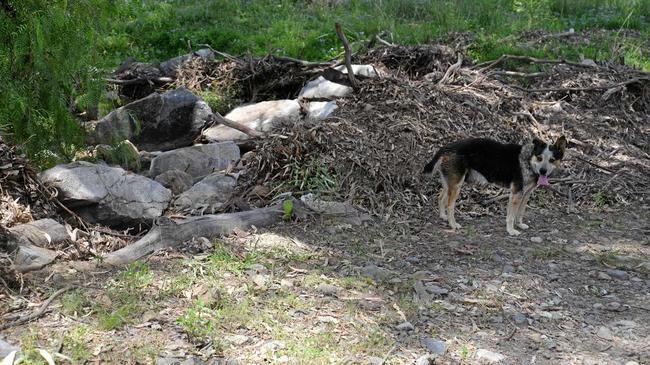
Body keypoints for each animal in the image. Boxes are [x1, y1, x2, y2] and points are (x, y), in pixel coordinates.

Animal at [422, 135, 564, 235]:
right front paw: (511, 230)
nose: (543, 171)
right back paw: (452, 224)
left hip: (450, 183)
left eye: (552, 160)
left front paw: (519, 224)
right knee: (450, 205)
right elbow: (511, 215)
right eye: (539, 158)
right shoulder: (516, 194)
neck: (528, 160)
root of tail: (446, 147)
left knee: (440, 197)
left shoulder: (526, 194)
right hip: (457, 185)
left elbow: (520, 212)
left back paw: (443, 216)